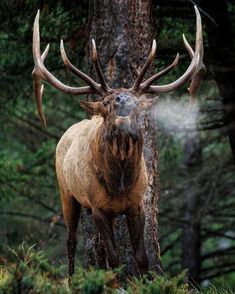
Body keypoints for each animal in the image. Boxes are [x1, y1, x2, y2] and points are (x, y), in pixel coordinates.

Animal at [31, 5, 204, 276]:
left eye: (138, 105)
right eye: (106, 102)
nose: (124, 109)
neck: (119, 184)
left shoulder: (137, 205)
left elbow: (141, 257)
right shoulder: (98, 207)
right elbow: (114, 258)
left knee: (97, 248)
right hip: (67, 192)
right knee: (71, 241)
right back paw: (70, 278)